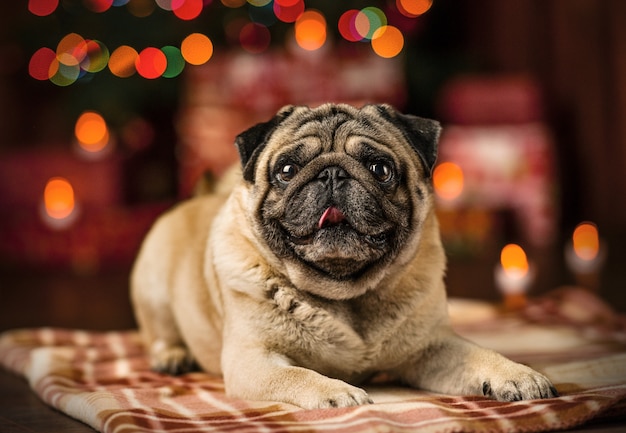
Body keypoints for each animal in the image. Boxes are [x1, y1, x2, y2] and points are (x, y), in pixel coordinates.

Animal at [130, 103, 556, 406]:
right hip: (154, 291)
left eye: (380, 169)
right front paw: (336, 392)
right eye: (287, 169)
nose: (333, 173)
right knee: (159, 333)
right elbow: (295, 374)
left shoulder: (432, 348)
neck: (345, 293)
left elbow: (479, 355)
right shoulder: (253, 360)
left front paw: (517, 374)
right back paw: (172, 356)